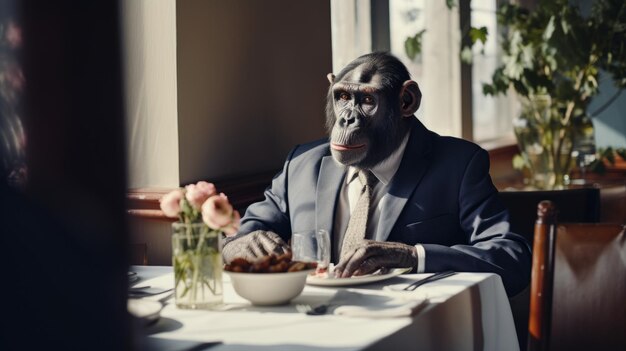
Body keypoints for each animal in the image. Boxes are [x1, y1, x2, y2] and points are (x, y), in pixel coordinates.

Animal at [222, 52, 528, 298]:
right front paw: (256, 245)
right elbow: (246, 225)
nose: (347, 119)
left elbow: (504, 244)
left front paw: (378, 252)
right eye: (343, 97)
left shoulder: (473, 170)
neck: (369, 169)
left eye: (368, 100)